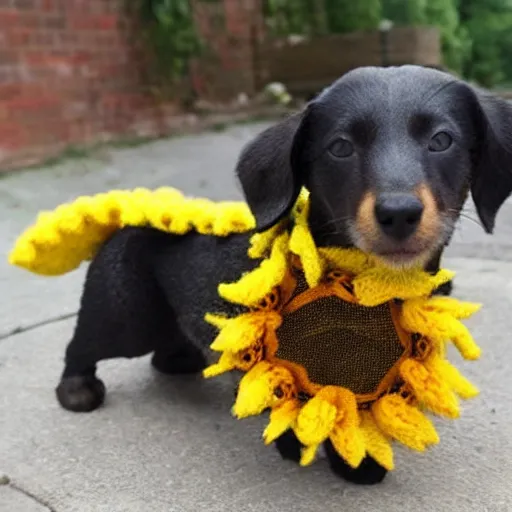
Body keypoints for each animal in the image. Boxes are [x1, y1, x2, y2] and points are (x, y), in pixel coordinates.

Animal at [54, 66, 512, 486]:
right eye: (340, 147)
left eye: (442, 140)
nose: (398, 213)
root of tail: (130, 214)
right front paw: (298, 447)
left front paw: (359, 464)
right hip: (126, 316)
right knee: (83, 344)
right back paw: (76, 388)